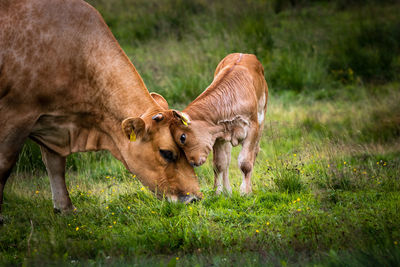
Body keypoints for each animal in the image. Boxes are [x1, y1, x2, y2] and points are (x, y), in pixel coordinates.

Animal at [170, 52, 268, 195]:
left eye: (182, 137)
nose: (192, 162)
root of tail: (243, 54)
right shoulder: (218, 135)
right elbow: (219, 164)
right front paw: (218, 192)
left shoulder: (252, 128)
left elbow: (245, 163)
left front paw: (245, 192)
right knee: (227, 161)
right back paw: (227, 191)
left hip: (261, 119)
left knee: (254, 152)